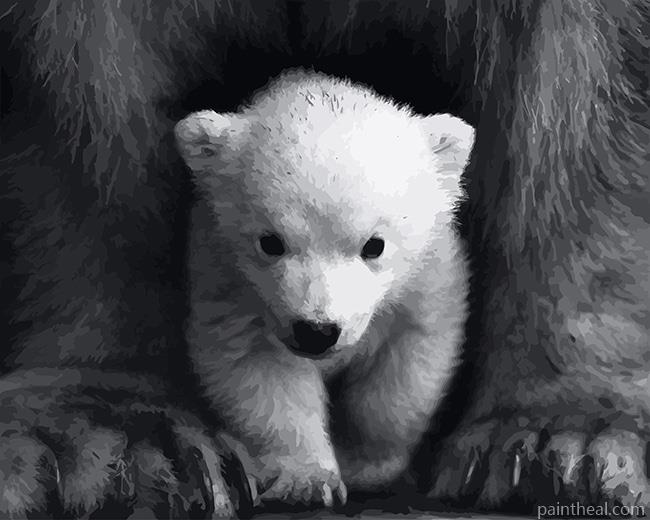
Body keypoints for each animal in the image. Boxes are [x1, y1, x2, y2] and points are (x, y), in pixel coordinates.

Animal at [174, 70, 474, 507]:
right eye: (270, 242)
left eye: (374, 245)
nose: (317, 331)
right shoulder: (228, 283)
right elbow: (262, 373)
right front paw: (307, 480)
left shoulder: (427, 282)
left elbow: (403, 373)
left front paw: (364, 463)